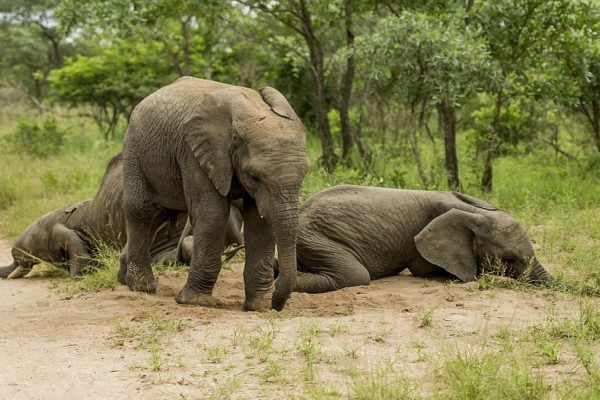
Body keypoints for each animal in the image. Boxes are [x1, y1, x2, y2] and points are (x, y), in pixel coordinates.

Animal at [120, 76, 312, 310]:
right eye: (254, 176)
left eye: (304, 175)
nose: (276, 305)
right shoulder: (195, 152)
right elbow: (213, 214)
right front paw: (195, 302)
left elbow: (260, 221)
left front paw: (259, 306)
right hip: (134, 148)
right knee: (140, 209)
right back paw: (142, 287)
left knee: (158, 213)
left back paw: (126, 280)